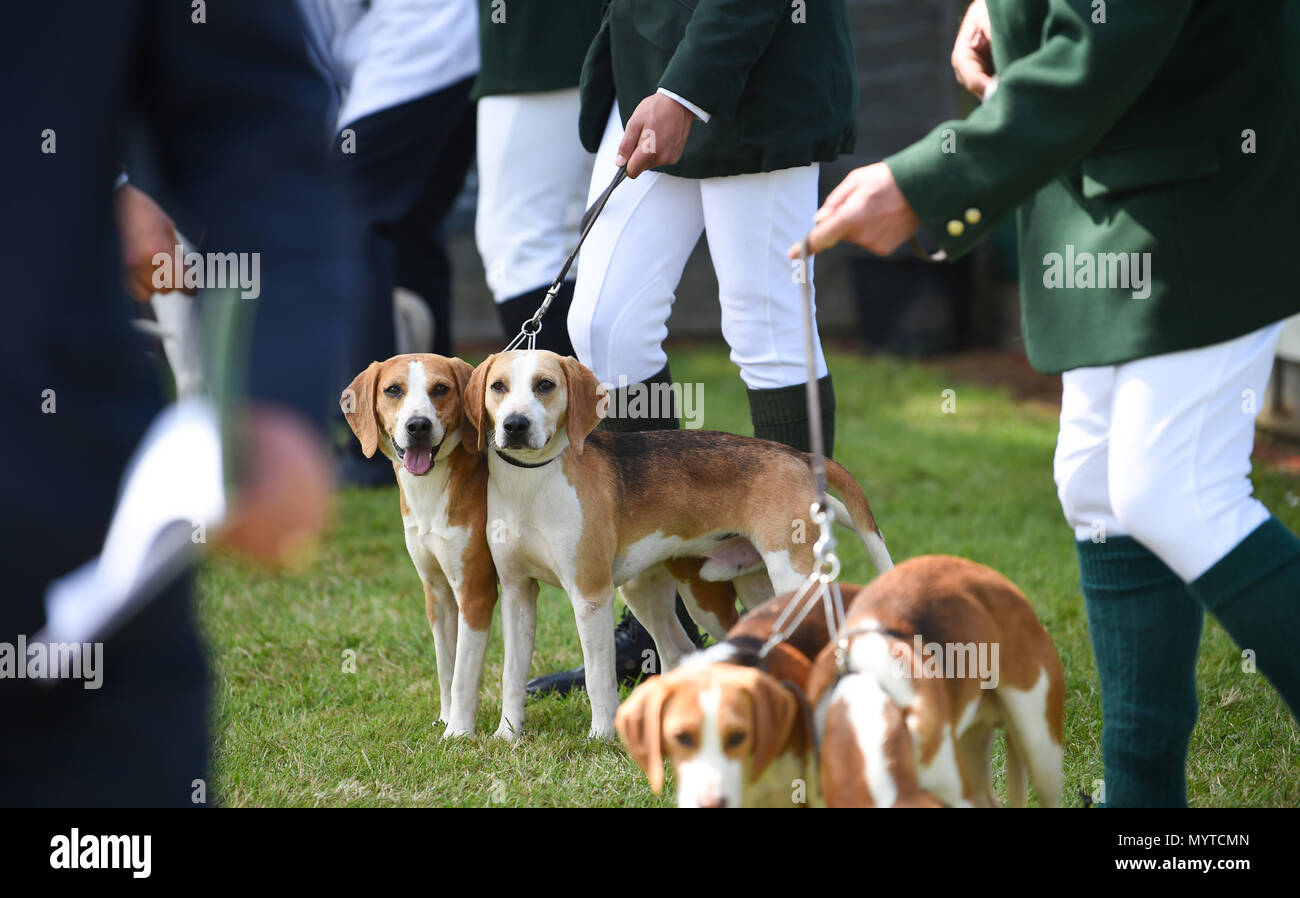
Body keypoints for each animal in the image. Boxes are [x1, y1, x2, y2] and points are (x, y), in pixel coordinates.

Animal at [340, 353, 496, 738]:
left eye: (440, 389)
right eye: (393, 390)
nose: (418, 426)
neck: (431, 489)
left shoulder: (476, 593)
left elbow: (463, 674)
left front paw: (458, 732)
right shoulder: (438, 593)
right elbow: (446, 667)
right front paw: (447, 716)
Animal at [460, 356, 894, 743]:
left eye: (545, 385)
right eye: (498, 387)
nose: (515, 425)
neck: (531, 481)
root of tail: (798, 457)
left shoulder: (589, 598)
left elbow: (598, 677)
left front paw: (601, 736)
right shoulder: (516, 593)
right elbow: (512, 676)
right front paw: (507, 734)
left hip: (790, 581)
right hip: (674, 592)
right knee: (684, 651)